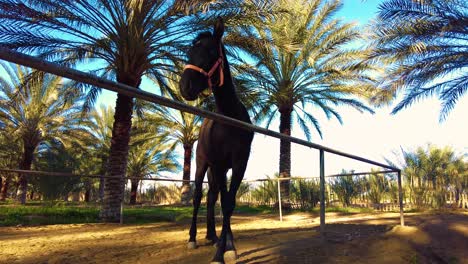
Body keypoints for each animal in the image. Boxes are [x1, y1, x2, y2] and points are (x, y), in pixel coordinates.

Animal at [178, 17, 252, 262]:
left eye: (211, 51)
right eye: (190, 51)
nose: (185, 87)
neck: (230, 117)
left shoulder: (238, 164)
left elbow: (228, 203)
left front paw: (228, 247)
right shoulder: (219, 164)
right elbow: (223, 201)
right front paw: (220, 253)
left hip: (216, 169)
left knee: (212, 196)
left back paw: (212, 235)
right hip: (203, 165)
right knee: (199, 196)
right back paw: (193, 238)